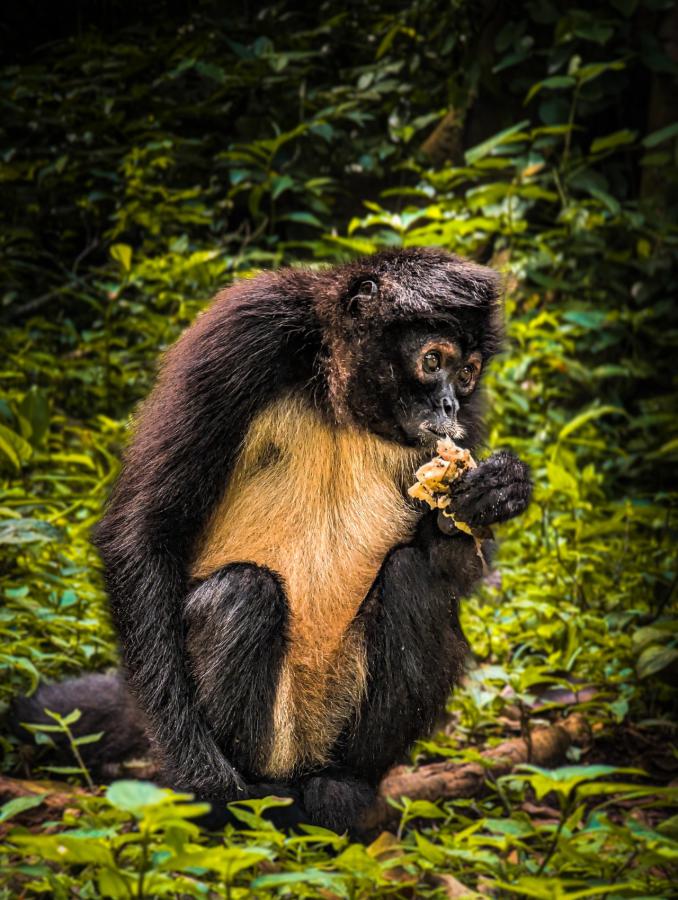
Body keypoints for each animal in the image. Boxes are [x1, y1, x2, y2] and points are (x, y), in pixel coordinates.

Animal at [10, 250, 532, 832]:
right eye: (433, 360)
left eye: (466, 375)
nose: (447, 406)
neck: (340, 403)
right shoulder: (246, 331)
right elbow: (142, 531)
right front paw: (202, 779)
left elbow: (450, 568)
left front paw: (495, 492)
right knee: (244, 591)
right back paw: (249, 797)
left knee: (411, 578)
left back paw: (340, 786)